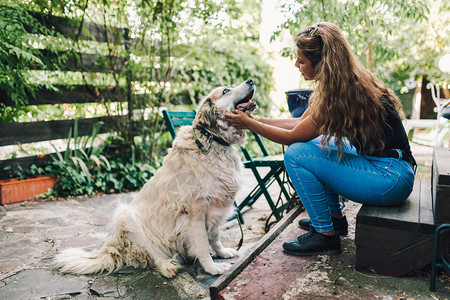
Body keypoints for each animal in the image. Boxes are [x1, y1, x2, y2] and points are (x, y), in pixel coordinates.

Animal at [53, 78, 256, 278]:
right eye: (226, 91)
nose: (251, 80)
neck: (212, 139)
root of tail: (113, 249)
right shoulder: (196, 210)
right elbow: (203, 244)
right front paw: (212, 268)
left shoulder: (216, 206)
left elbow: (214, 237)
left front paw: (222, 253)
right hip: (126, 216)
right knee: (153, 254)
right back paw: (167, 266)